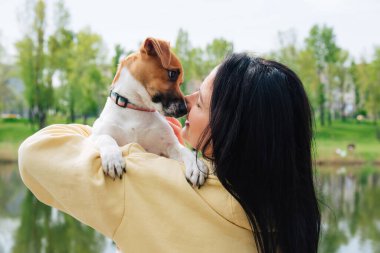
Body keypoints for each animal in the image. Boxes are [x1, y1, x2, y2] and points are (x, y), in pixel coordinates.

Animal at [90, 36, 208, 186]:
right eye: (172, 74)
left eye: (180, 82)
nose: (184, 110)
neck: (136, 108)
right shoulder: (94, 136)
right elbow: (106, 138)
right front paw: (113, 159)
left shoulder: (170, 146)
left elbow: (185, 151)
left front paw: (196, 167)